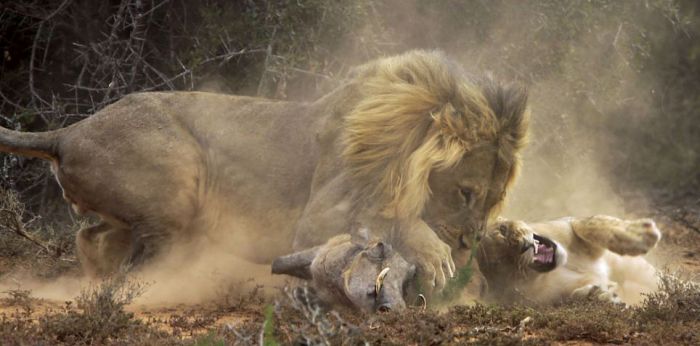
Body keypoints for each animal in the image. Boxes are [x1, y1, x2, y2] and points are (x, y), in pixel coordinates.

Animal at [0, 50, 524, 290]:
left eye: (493, 198)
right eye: (464, 192)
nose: (469, 241)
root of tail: (70, 130)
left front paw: (511, 236)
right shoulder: (316, 217)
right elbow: (392, 217)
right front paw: (436, 256)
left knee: (90, 238)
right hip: (179, 179)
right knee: (143, 265)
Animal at [476, 216, 660, 306]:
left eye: (503, 230)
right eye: (502, 261)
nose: (522, 246)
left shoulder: (568, 223)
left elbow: (588, 224)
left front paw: (642, 234)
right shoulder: (552, 300)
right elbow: (574, 296)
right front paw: (600, 295)